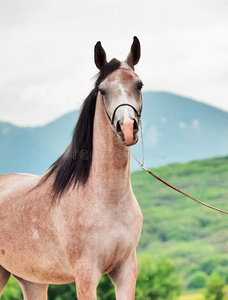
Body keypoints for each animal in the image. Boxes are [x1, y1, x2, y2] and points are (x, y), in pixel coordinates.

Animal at [0, 36, 142, 298]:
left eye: (139, 85)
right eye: (102, 90)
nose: (127, 128)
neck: (107, 199)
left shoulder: (125, 271)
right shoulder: (86, 275)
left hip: (32, 280)